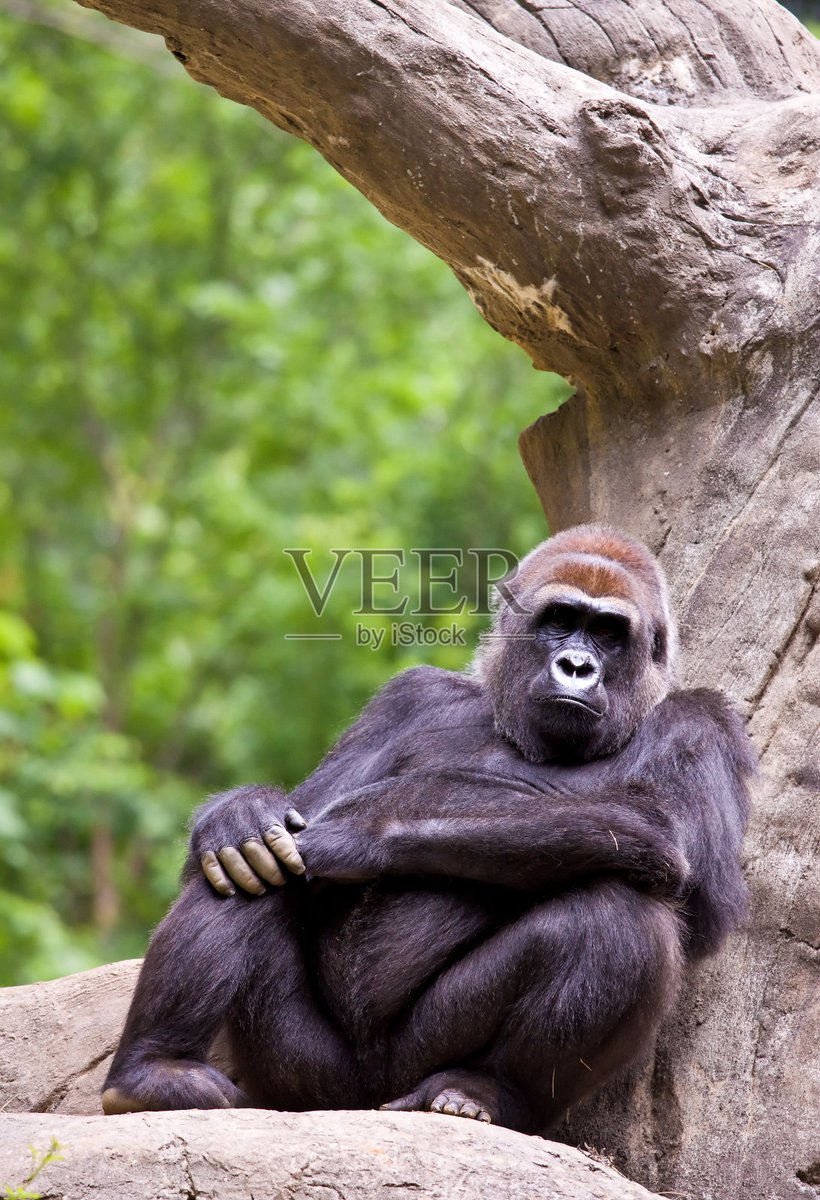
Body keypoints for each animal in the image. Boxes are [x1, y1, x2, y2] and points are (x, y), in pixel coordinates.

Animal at [102, 525, 754, 1133]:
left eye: (610, 634)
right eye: (561, 620)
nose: (576, 667)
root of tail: (364, 1102)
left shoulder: (705, 722)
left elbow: (673, 851)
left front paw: (364, 827)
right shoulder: (411, 695)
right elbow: (295, 812)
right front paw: (239, 811)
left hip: (413, 1062)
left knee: (622, 914)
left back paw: (482, 1089)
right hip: (303, 1081)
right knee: (252, 870)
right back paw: (151, 1072)